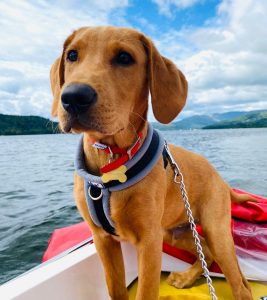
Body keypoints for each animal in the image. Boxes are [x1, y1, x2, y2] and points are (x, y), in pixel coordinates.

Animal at [50, 26, 255, 300]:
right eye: (72, 55)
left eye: (124, 58)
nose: (73, 97)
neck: (111, 159)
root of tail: (221, 179)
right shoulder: (103, 240)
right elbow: (116, 290)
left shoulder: (148, 242)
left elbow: (146, 290)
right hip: (173, 233)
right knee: (206, 253)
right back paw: (187, 277)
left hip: (215, 229)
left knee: (239, 284)